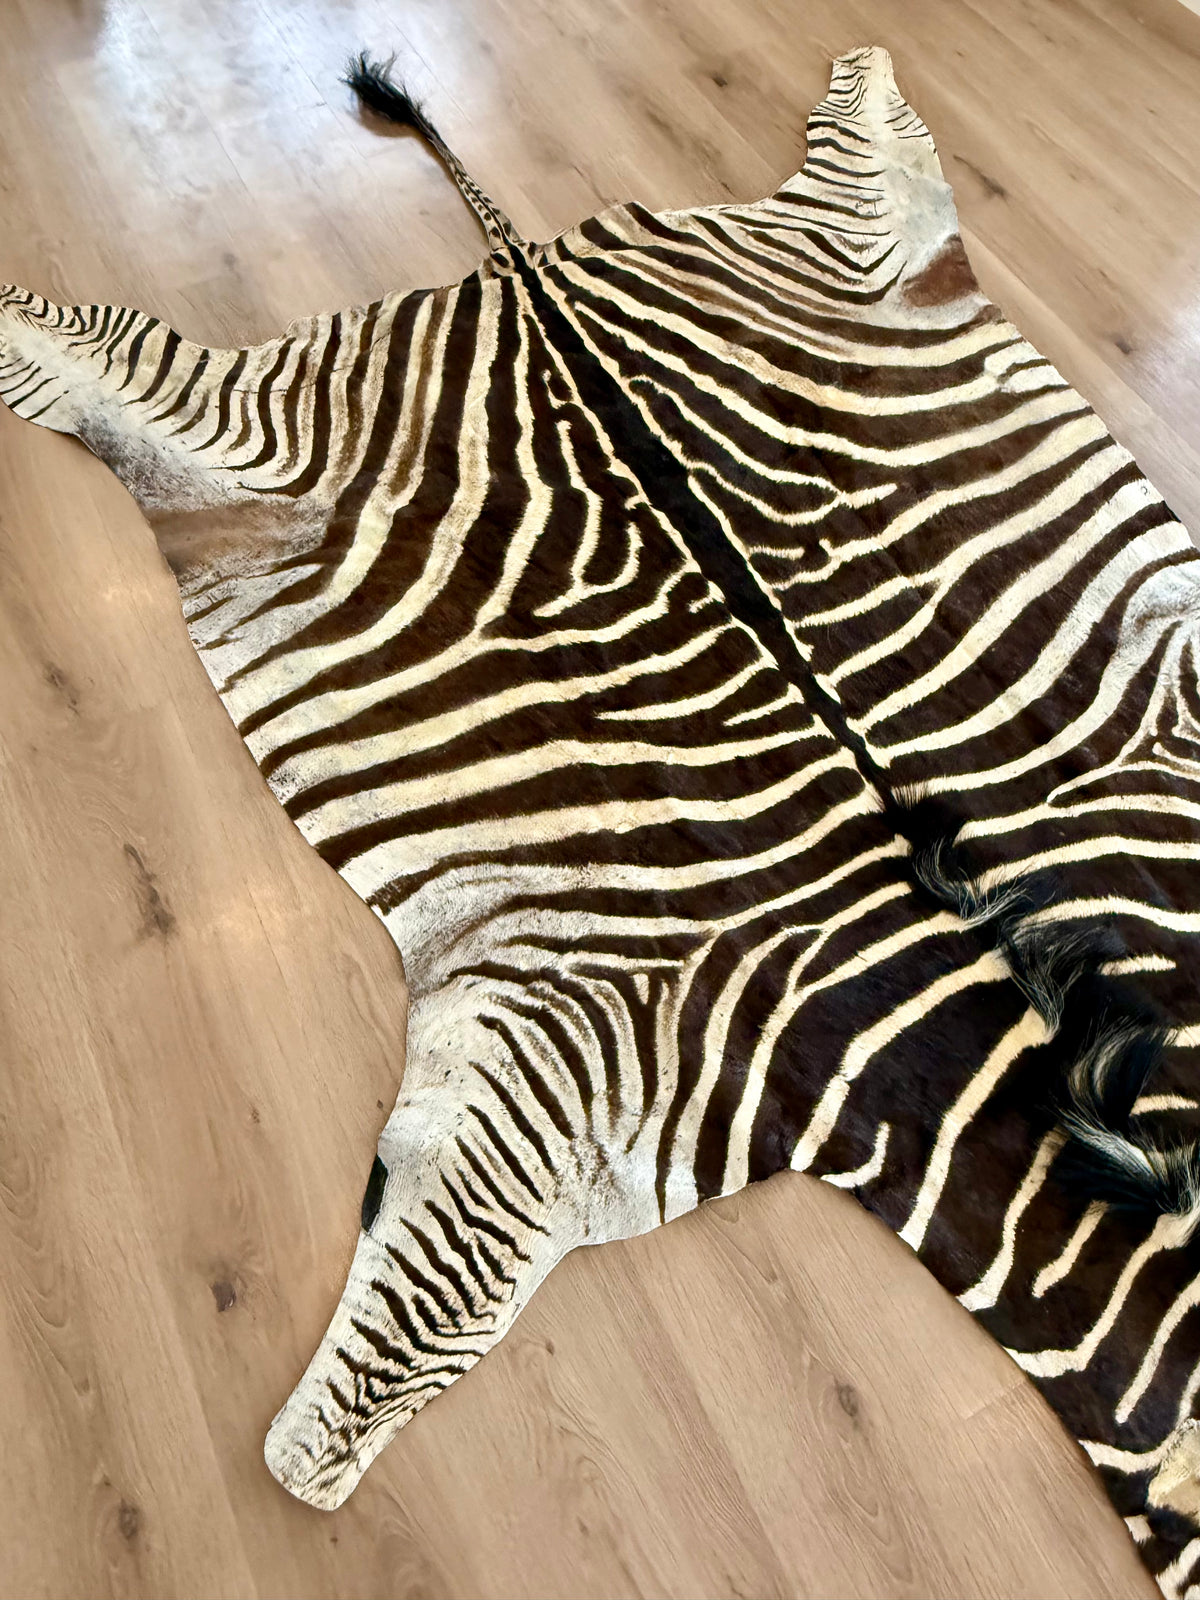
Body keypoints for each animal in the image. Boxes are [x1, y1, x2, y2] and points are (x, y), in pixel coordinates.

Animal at [3, 43, 1199, 1594]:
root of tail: (533, 279)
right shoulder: (601, 1040)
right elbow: (372, 1378)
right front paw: (298, 1456)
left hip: (840, 270)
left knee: (876, 172)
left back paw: (863, 72)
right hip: (268, 444)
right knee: (122, 373)